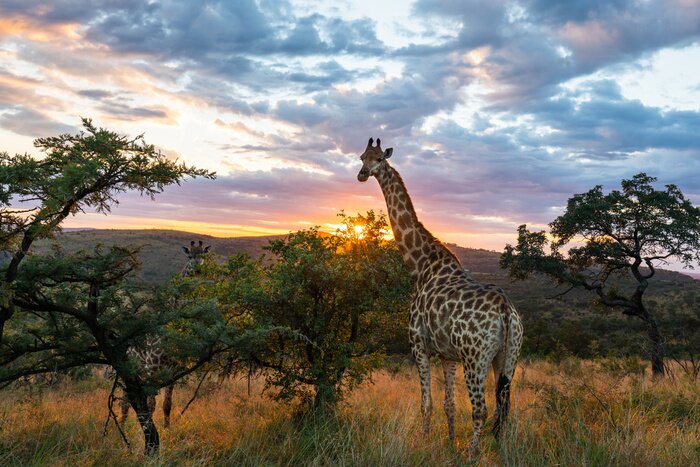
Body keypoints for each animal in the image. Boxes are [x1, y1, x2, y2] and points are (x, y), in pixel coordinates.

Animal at [119, 240, 211, 428]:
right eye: (189, 256)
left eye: (203, 255)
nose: (198, 270)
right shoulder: (153, 368)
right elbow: (151, 404)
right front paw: (148, 431)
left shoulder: (174, 370)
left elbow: (167, 404)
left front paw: (166, 429)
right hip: (131, 370)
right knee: (125, 402)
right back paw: (122, 427)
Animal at [357, 138, 523, 456]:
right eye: (361, 157)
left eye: (379, 159)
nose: (361, 174)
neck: (420, 267)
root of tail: (506, 312)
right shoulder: (448, 355)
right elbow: (449, 405)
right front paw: (449, 445)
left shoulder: (418, 345)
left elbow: (427, 403)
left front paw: (423, 444)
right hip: (508, 357)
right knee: (504, 406)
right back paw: (500, 451)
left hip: (475, 358)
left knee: (481, 409)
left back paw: (473, 455)